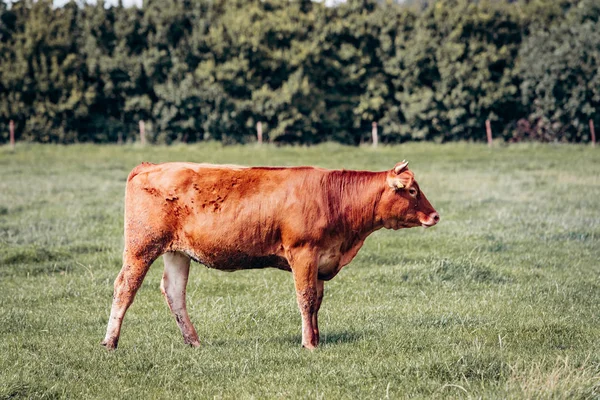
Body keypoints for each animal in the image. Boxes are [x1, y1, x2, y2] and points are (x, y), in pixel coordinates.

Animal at [101, 161, 438, 348]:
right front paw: (308, 343)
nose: (435, 216)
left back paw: (193, 342)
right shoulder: (303, 253)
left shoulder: (320, 259)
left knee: (174, 292)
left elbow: (317, 301)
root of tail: (150, 166)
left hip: (177, 252)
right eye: (411, 190)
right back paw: (110, 342)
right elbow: (306, 298)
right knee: (125, 288)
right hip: (141, 247)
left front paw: (316, 338)